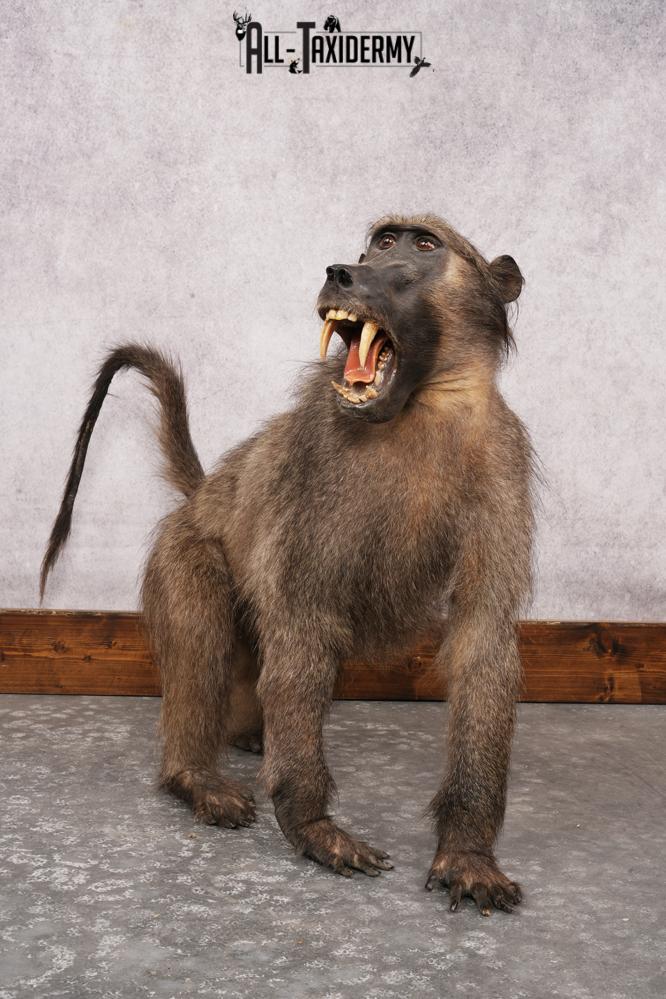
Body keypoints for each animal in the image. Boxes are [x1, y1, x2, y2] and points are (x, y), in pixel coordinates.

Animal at [40, 214, 534, 916]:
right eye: (378, 244)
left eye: (422, 246)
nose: (342, 272)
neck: (425, 409)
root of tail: (201, 494)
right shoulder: (319, 464)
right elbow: (306, 623)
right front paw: (313, 826)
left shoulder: (502, 464)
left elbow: (481, 640)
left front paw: (467, 854)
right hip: (183, 550)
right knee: (204, 632)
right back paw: (196, 776)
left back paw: (251, 733)